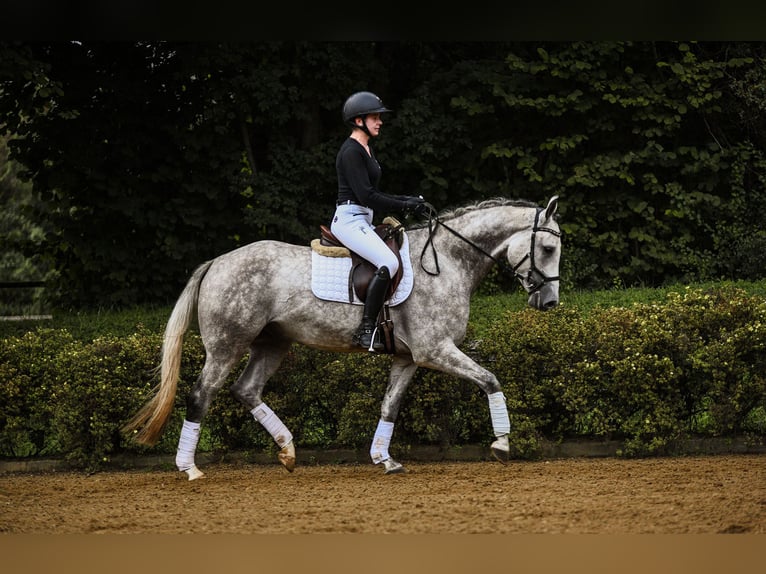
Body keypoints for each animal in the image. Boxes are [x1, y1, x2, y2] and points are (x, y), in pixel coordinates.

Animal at [123, 196, 560, 480]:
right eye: (548, 247)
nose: (550, 302)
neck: (448, 262)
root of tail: (217, 261)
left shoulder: (408, 357)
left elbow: (389, 405)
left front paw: (384, 459)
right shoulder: (435, 350)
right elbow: (490, 379)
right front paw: (502, 445)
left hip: (272, 343)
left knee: (246, 390)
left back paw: (288, 451)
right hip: (227, 346)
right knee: (202, 395)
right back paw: (190, 468)